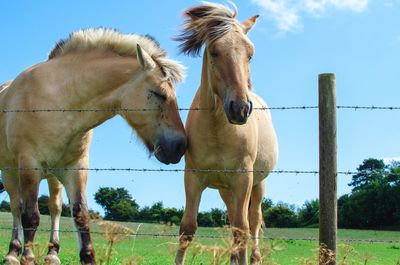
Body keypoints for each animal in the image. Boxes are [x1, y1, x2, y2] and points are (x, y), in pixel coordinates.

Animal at [0, 27, 188, 262]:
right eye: (159, 94)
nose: (181, 146)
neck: (59, 102)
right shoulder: (30, 166)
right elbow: (31, 217)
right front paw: (27, 258)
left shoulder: (76, 169)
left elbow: (80, 215)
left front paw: (87, 257)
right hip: (10, 172)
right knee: (16, 207)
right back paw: (12, 253)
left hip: (53, 177)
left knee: (54, 208)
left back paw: (52, 253)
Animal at [175, 2, 278, 264]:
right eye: (213, 52)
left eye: (250, 53)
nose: (240, 109)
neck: (218, 130)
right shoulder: (193, 177)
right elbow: (187, 228)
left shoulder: (243, 178)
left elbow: (243, 229)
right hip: (225, 190)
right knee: (234, 219)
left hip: (258, 185)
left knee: (252, 222)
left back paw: (255, 257)